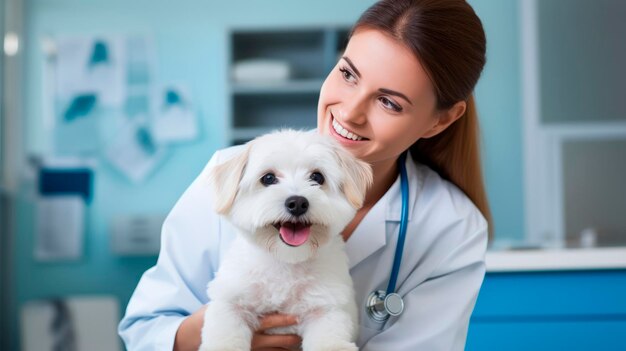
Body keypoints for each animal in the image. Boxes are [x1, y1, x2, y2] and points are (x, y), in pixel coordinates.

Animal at [201, 131, 370, 350]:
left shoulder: (326, 308)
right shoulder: (231, 302)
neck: (286, 262)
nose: (297, 203)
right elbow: (225, 336)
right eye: (268, 178)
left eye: (317, 177)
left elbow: (329, 340)